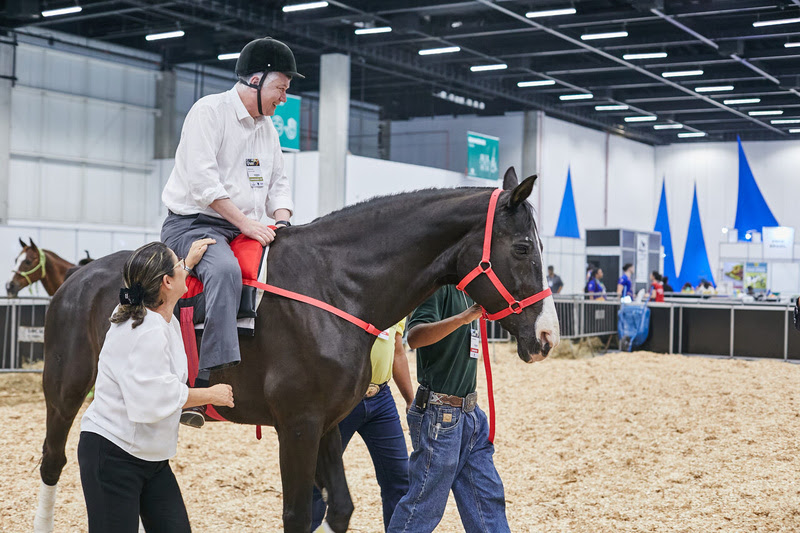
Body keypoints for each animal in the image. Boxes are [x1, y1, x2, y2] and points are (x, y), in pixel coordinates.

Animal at [34, 168, 560, 528]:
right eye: (521, 249)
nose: (548, 336)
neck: (335, 285)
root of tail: (78, 278)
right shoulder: (298, 426)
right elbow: (296, 514)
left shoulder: (325, 422)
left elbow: (339, 507)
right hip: (63, 392)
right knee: (53, 462)